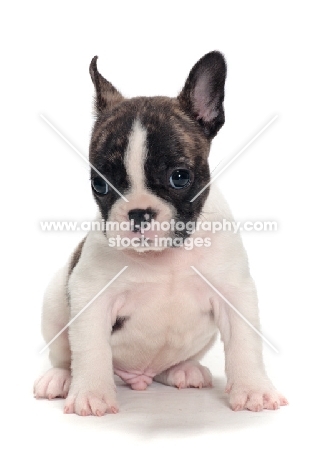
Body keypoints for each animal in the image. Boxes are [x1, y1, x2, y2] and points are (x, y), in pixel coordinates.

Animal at [34, 51, 288, 414]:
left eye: (179, 177)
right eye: (99, 184)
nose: (139, 212)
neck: (166, 257)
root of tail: (140, 377)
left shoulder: (234, 293)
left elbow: (245, 343)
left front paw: (254, 390)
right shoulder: (91, 297)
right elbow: (90, 349)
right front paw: (91, 394)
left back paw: (184, 370)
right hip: (54, 304)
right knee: (63, 355)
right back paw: (60, 378)